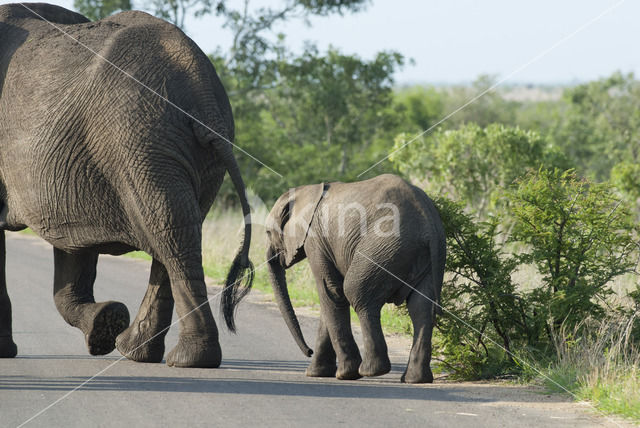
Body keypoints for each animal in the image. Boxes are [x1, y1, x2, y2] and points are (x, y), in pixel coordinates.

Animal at [0, 2, 255, 368]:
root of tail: (200, 87)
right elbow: (73, 243)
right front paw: (104, 323)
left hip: (139, 137)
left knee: (169, 232)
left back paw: (187, 359)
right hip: (175, 150)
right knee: (175, 230)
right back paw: (138, 350)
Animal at [264, 174, 444, 384]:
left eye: (268, 232)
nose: (308, 351)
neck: (305, 191)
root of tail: (427, 221)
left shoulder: (315, 240)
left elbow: (331, 291)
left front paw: (344, 375)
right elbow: (330, 299)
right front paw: (316, 373)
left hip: (384, 247)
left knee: (357, 293)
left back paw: (371, 371)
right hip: (423, 254)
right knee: (420, 307)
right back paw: (415, 379)